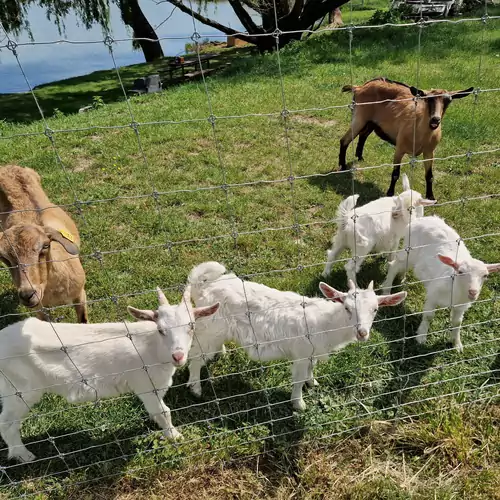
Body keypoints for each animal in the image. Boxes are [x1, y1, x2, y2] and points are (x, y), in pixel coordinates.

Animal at [0, 286, 219, 460]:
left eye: (191, 327)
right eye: (161, 330)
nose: (178, 356)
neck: (154, 348)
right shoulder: (146, 385)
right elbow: (164, 412)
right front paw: (175, 436)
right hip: (19, 389)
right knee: (7, 423)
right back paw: (23, 455)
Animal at [187, 262, 406, 410]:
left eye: (375, 309)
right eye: (347, 307)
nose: (362, 333)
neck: (327, 323)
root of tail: (202, 288)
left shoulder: (312, 353)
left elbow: (311, 369)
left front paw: (313, 382)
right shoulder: (301, 353)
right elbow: (298, 379)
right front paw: (299, 404)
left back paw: (220, 354)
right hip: (209, 329)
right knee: (195, 358)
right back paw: (196, 389)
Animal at [340, 77, 472, 200]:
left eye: (448, 101)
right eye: (428, 99)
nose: (435, 119)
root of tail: (359, 88)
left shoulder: (429, 152)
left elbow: (429, 176)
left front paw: (431, 197)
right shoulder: (399, 148)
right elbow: (395, 174)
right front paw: (390, 194)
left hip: (371, 122)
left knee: (363, 135)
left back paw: (360, 157)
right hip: (360, 117)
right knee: (345, 140)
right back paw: (342, 166)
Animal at [380, 215, 498, 352]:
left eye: (485, 275)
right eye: (460, 271)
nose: (473, 292)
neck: (454, 290)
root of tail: (421, 219)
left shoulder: (461, 306)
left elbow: (457, 323)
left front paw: (457, 345)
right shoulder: (433, 295)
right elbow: (428, 316)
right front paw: (421, 337)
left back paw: (401, 278)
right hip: (410, 251)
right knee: (394, 265)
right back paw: (387, 289)